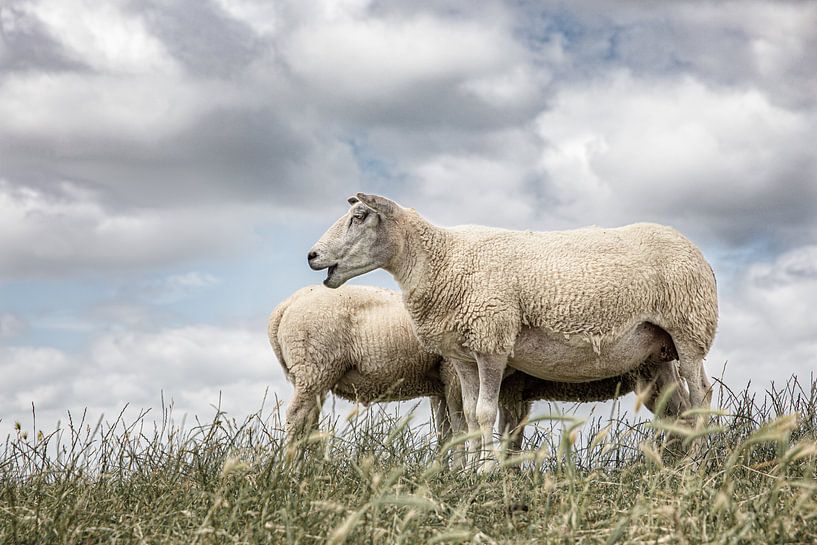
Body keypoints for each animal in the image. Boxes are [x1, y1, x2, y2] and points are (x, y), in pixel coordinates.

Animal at [307, 193, 718, 470]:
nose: (311, 256)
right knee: (681, 409)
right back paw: (672, 464)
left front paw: (486, 471)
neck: (440, 259)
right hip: (658, 352)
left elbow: (486, 413)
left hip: (689, 329)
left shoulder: (492, 341)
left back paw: (696, 463)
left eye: (360, 215)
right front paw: (470, 471)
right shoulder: (463, 355)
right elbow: (470, 415)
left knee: (702, 395)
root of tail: (696, 251)